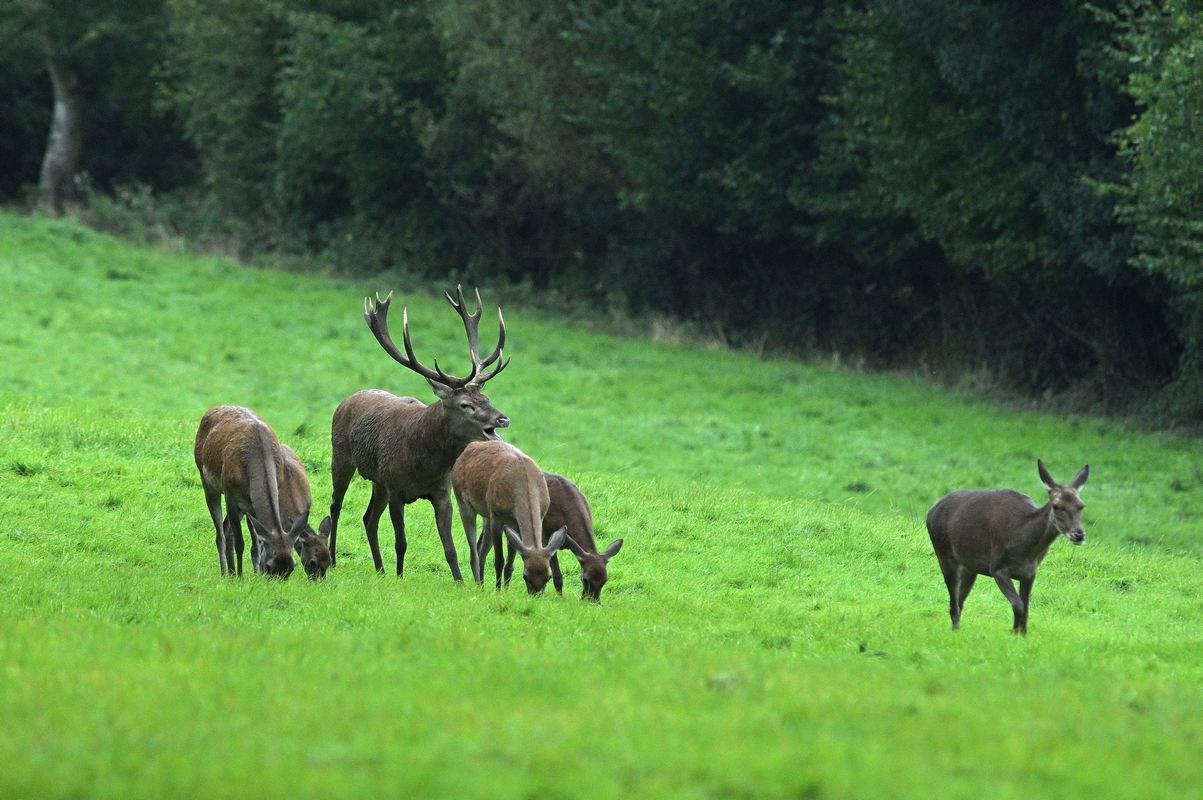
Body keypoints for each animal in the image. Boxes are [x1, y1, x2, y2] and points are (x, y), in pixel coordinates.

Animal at [194, 406, 332, 579]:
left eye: (292, 566)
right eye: (270, 565)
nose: (273, 581)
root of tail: (211, 410)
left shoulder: (252, 504)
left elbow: (257, 543)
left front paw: (255, 574)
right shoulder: (230, 494)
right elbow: (240, 542)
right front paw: (240, 576)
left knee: (227, 529)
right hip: (207, 480)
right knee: (221, 533)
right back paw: (227, 573)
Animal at [329, 283, 512, 577]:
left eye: (486, 398)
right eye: (466, 405)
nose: (503, 419)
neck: (423, 463)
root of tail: (346, 400)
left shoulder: (441, 493)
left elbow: (450, 549)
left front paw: (460, 581)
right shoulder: (396, 489)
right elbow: (401, 542)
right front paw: (400, 577)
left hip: (378, 480)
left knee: (368, 518)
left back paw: (380, 570)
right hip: (342, 457)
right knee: (336, 505)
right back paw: (334, 558)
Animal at [452, 440, 567, 589]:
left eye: (548, 577)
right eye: (525, 576)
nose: (536, 594)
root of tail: (468, 447)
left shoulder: (516, 523)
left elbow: (509, 565)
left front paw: (506, 590)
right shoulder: (497, 517)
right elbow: (499, 560)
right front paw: (498, 591)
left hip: (486, 515)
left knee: (481, 552)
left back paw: (482, 587)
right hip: (463, 502)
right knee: (474, 553)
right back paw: (478, 586)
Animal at [923, 459, 1087, 635]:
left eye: (1081, 505)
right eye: (1056, 506)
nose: (1079, 534)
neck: (1025, 549)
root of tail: (931, 510)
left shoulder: (1030, 572)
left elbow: (1026, 609)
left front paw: (1021, 634)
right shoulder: (997, 567)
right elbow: (1018, 605)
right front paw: (1013, 632)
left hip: (970, 566)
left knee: (960, 601)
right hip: (943, 553)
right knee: (954, 603)